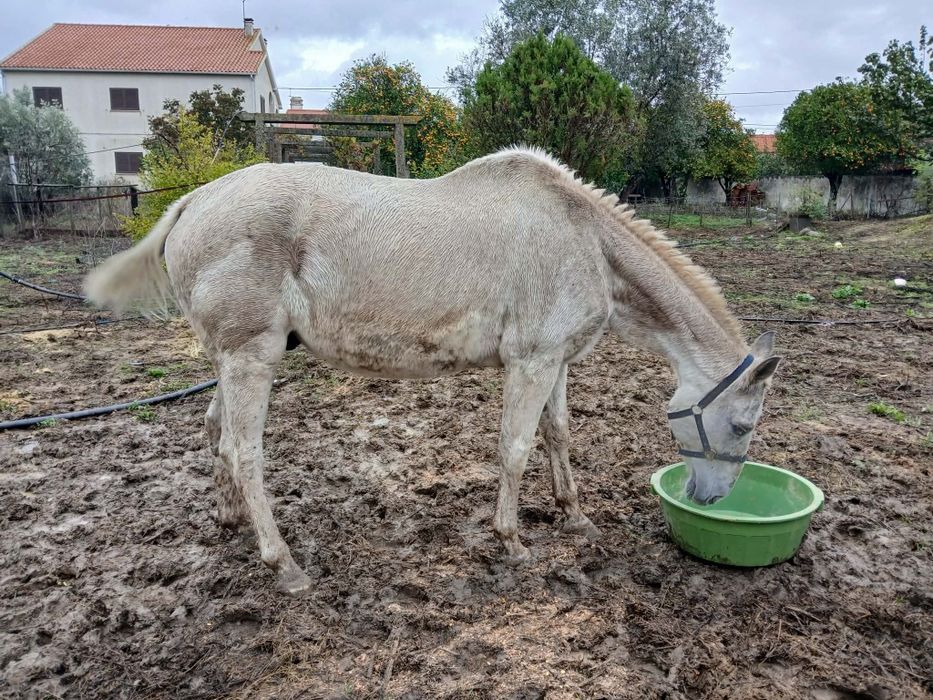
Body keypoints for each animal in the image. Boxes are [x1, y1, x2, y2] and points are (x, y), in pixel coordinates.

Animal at [85, 147, 782, 596]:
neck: (585, 238)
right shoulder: (530, 363)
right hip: (250, 359)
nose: (711, 499)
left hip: (230, 362)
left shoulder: (556, 363)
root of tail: (196, 199)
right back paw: (283, 565)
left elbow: (558, 436)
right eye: (743, 426)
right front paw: (512, 541)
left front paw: (574, 516)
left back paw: (231, 522)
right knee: (244, 452)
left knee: (213, 433)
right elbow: (515, 448)